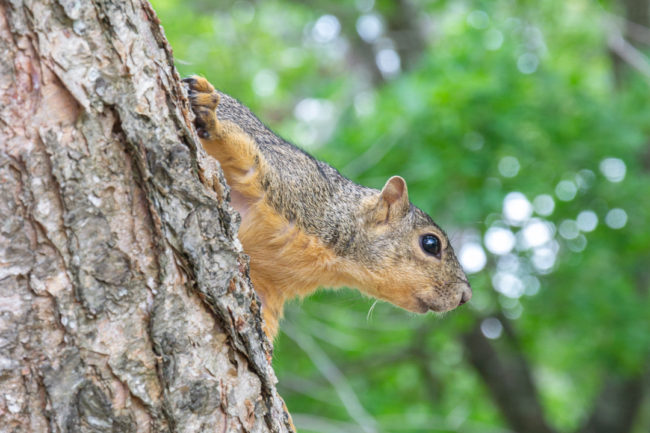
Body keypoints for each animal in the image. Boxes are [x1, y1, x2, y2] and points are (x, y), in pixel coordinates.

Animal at [182, 75, 470, 338]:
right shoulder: (290, 183)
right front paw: (210, 115)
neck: (334, 262)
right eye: (430, 243)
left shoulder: (267, 285)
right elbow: (242, 151)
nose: (465, 296)